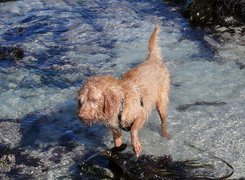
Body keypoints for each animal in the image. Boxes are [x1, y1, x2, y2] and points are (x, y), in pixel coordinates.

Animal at [77, 27, 170, 156]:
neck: (121, 102)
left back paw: (165, 134)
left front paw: (135, 144)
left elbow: (133, 130)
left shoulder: (141, 112)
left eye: (93, 100)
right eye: (81, 101)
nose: (80, 116)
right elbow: (117, 142)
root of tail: (153, 59)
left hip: (161, 103)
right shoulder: (115, 128)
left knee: (163, 121)